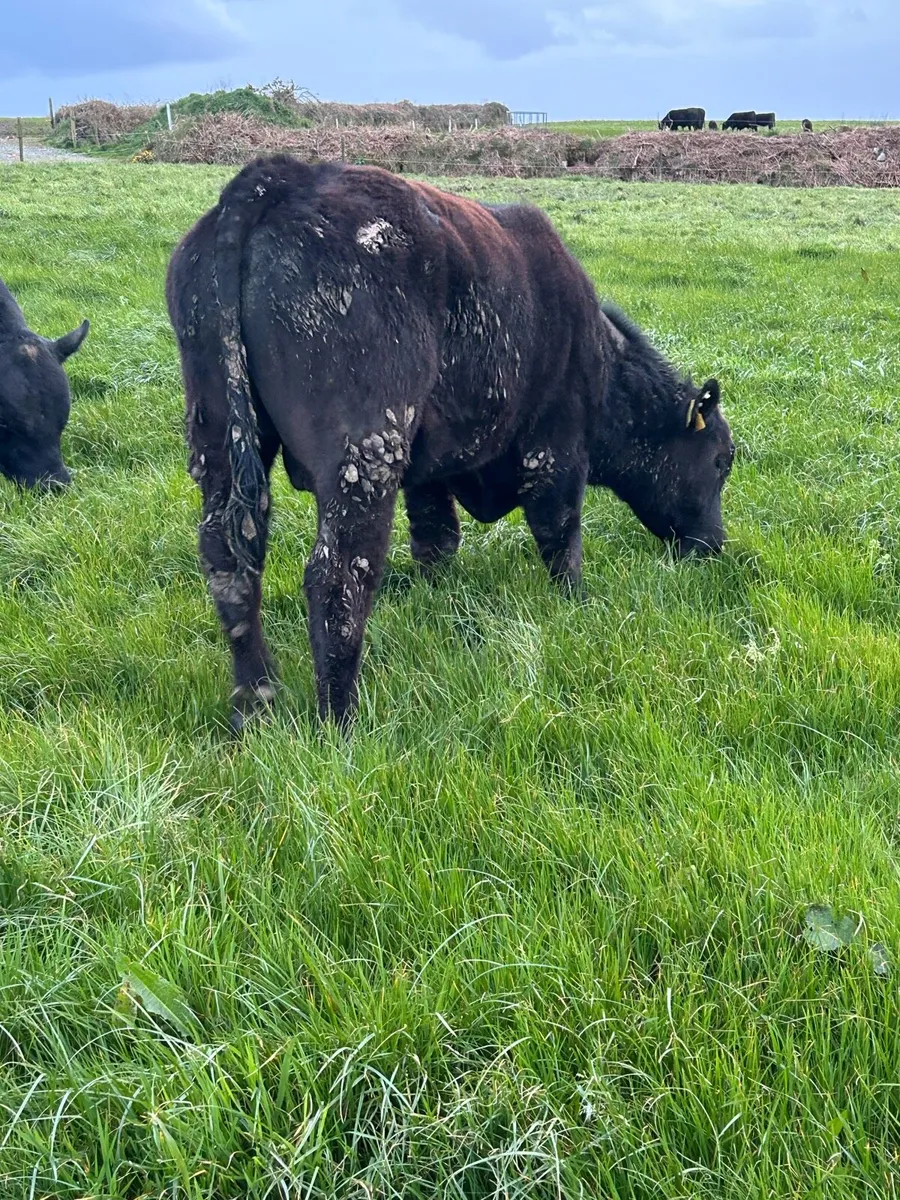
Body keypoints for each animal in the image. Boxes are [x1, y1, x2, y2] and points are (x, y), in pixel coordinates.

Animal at [167, 156, 733, 730]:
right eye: (721, 461)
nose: (714, 546)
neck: (602, 361)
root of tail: (285, 177)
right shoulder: (557, 451)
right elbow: (561, 537)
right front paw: (577, 605)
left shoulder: (429, 471)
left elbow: (436, 540)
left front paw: (435, 605)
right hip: (364, 457)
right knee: (338, 573)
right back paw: (340, 722)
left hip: (219, 443)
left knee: (228, 557)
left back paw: (256, 702)